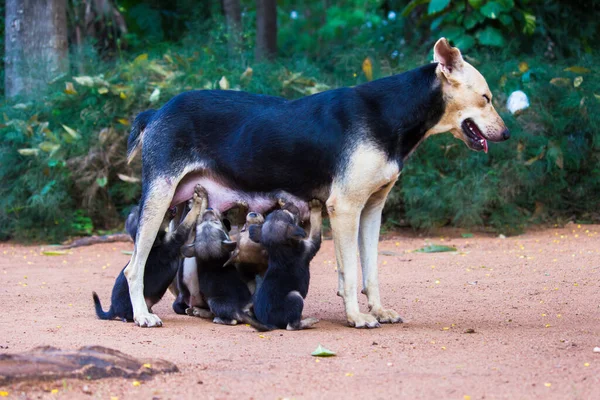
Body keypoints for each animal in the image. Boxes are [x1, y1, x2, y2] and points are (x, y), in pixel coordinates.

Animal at [92, 184, 205, 322]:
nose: (172, 205)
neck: (157, 240)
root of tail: (112, 309)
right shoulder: (177, 239)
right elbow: (188, 219)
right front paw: (197, 202)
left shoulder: (183, 246)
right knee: (128, 314)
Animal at [248, 198, 324, 330]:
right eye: (290, 216)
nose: (288, 203)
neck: (279, 252)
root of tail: (269, 323)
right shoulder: (310, 245)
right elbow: (315, 225)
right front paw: (315, 207)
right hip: (295, 297)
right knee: (291, 325)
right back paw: (308, 322)